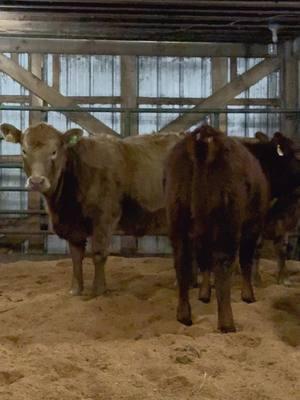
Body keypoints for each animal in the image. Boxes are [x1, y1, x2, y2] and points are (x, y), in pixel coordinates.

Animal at [0, 123, 180, 296]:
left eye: (54, 151)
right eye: (24, 151)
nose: (37, 181)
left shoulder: (105, 217)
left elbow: (99, 253)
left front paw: (99, 290)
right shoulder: (72, 225)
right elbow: (76, 256)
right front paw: (75, 289)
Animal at [164, 125, 270, 332]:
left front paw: (204, 294)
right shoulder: (252, 226)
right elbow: (245, 260)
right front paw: (248, 295)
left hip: (178, 216)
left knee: (182, 260)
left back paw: (184, 315)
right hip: (226, 222)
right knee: (223, 261)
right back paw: (227, 323)